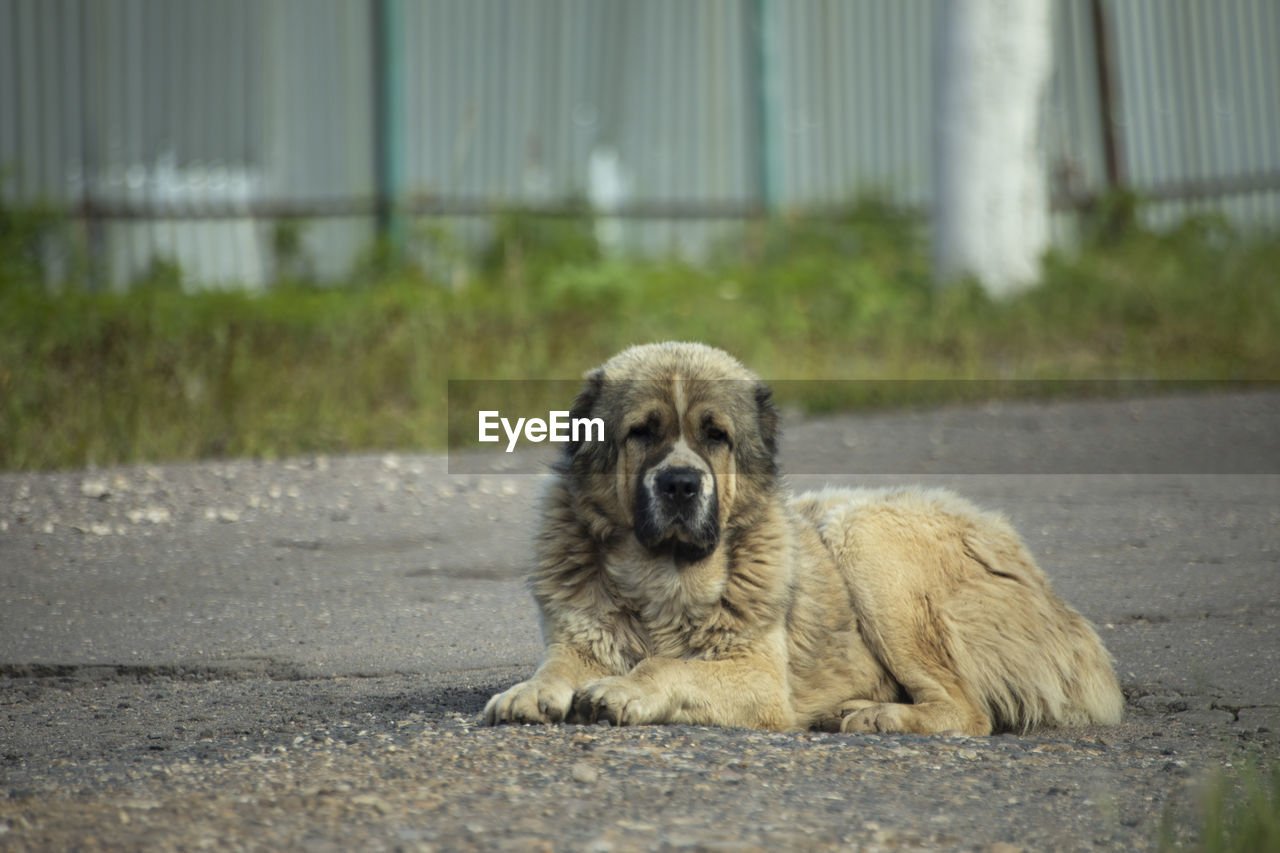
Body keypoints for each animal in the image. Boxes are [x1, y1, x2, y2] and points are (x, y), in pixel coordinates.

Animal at [483, 340, 1126, 732]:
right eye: (642, 432)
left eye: (715, 436)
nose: (681, 484)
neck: (661, 576)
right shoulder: (580, 643)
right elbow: (558, 668)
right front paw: (530, 692)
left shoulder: (758, 678)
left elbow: (668, 667)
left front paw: (625, 690)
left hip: (862, 536)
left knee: (967, 712)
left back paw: (878, 717)